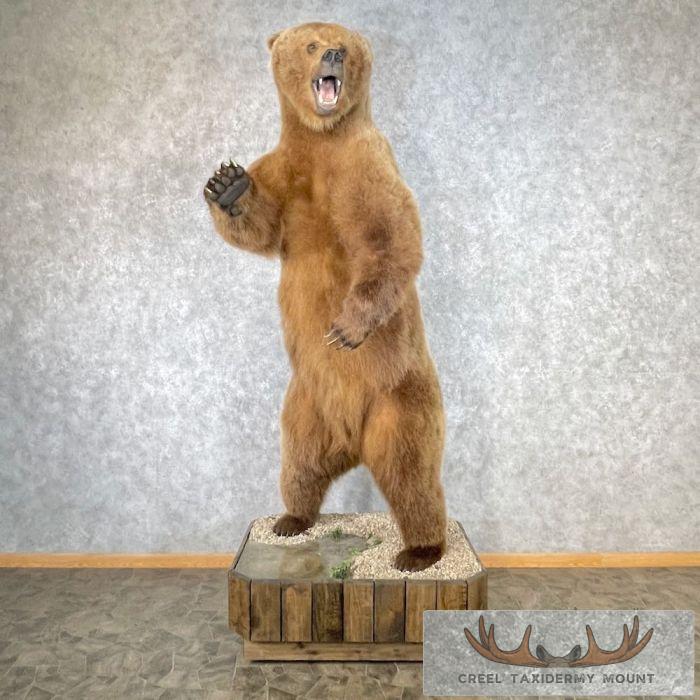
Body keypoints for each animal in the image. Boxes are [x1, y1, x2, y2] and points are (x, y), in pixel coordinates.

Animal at [203, 22, 447, 571]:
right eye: (312, 44)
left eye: (345, 45)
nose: (334, 53)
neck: (322, 138)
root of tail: (352, 443)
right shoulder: (285, 171)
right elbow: (262, 227)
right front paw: (227, 186)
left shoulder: (366, 164)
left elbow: (389, 237)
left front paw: (345, 328)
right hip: (304, 404)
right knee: (300, 464)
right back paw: (291, 520)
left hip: (400, 400)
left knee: (412, 474)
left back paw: (420, 551)